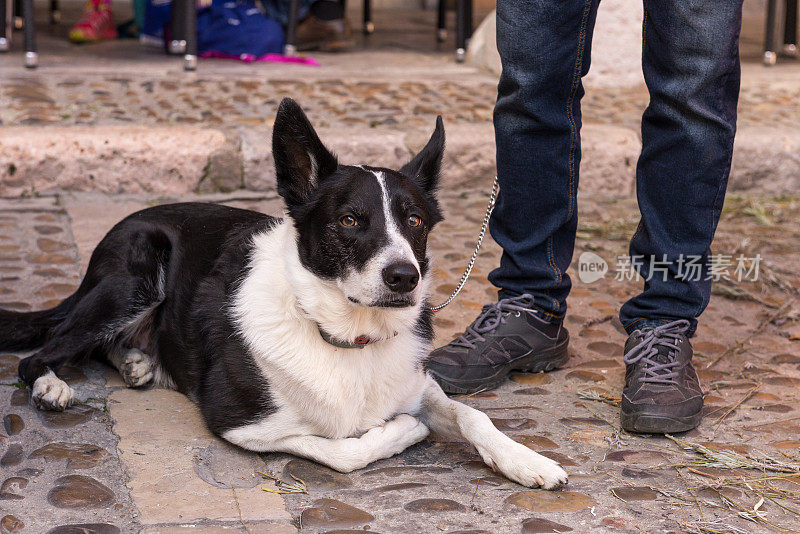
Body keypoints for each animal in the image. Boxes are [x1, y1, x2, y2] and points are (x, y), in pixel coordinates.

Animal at [4, 99, 568, 490]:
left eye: (414, 221)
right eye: (349, 221)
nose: (404, 277)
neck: (347, 338)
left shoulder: (415, 382)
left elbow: (474, 414)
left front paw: (528, 460)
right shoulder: (238, 423)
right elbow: (340, 448)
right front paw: (404, 433)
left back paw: (136, 362)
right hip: (134, 279)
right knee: (42, 352)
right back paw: (52, 386)